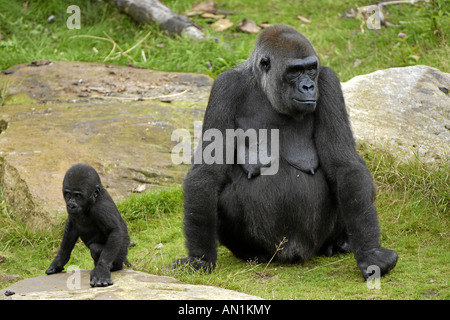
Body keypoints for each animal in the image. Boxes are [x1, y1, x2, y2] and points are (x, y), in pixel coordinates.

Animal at [172, 25, 398, 280]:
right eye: (294, 71)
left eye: (311, 69)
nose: (309, 86)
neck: (264, 88)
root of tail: (294, 253)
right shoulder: (224, 87)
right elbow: (207, 172)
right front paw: (199, 258)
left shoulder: (328, 80)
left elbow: (344, 165)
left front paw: (370, 252)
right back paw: (253, 253)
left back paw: (338, 243)